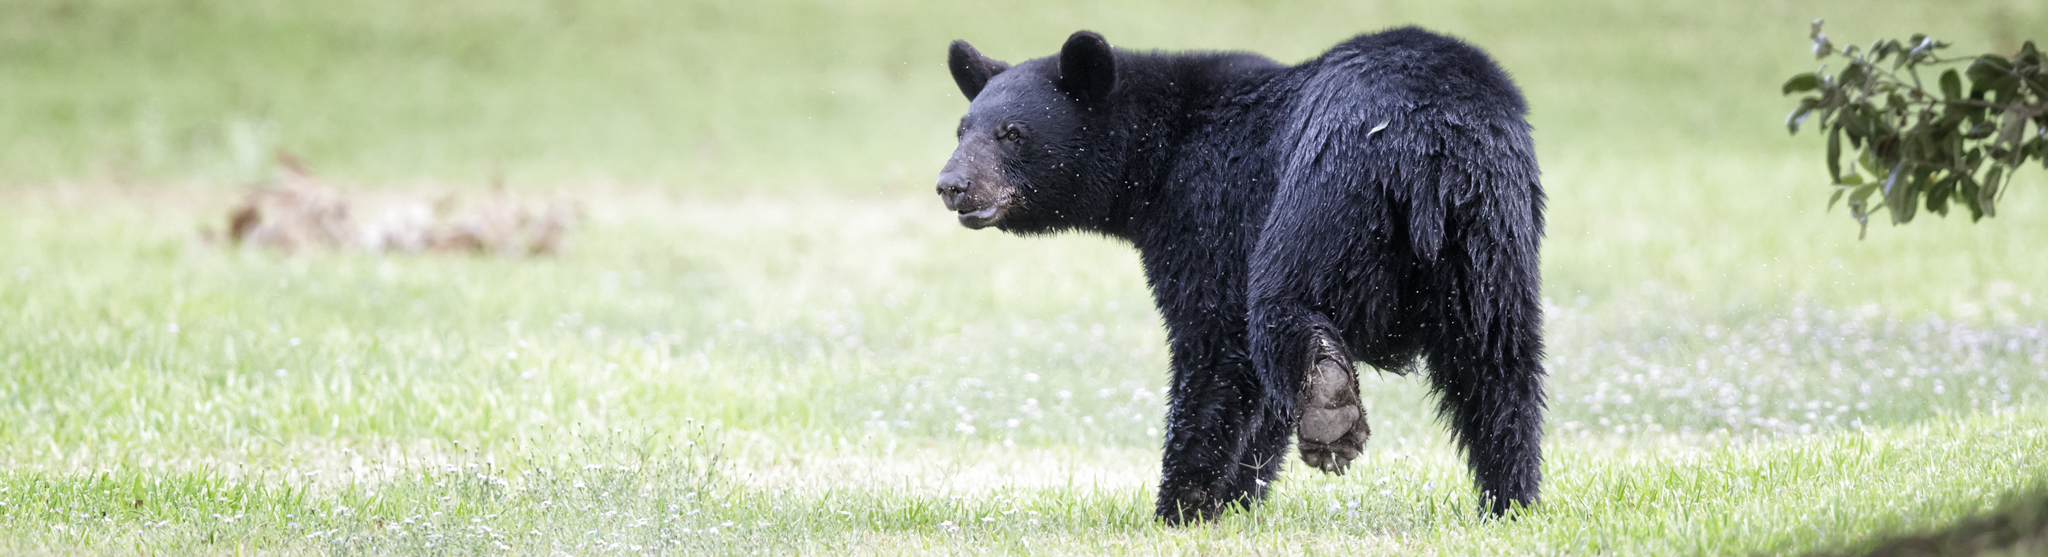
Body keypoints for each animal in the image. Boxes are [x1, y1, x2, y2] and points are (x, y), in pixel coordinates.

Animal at [935, 27, 1545, 524]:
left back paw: (1330, 408)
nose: (951, 185)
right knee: (1497, 365)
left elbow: (1213, 347)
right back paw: (1510, 500)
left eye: (1012, 133)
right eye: (962, 129)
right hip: (1490, 236)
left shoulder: (1210, 215)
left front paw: (1181, 507)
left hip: (1320, 194)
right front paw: (1234, 499)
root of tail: (1426, 142)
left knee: (1281, 304)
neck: (1160, 156)